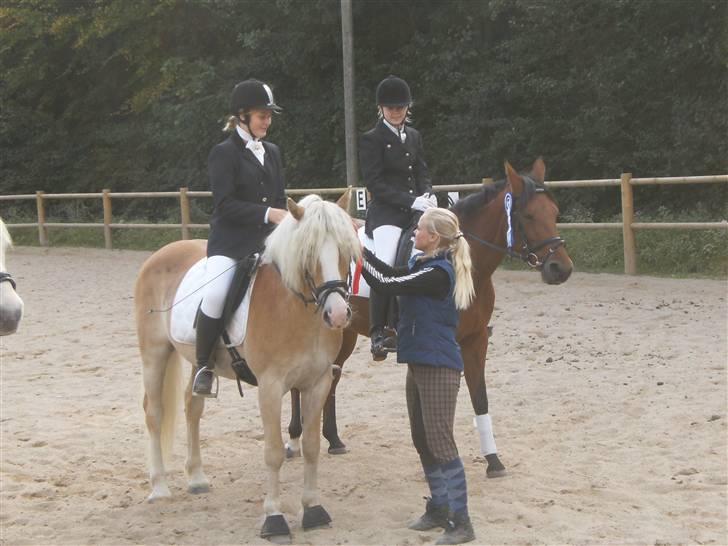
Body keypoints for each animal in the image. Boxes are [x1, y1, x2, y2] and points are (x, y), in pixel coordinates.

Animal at [134, 191, 362, 540]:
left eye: (346, 250)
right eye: (308, 252)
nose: (337, 315)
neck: (293, 309)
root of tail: (160, 254)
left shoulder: (318, 382)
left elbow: (311, 447)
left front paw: (313, 509)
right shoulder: (270, 387)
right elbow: (274, 452)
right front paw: (274, 517)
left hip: (199, 361)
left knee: (192, 405)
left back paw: (196, 478)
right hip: (154, 353)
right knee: (154, 412)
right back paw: (159, 486)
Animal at [286, 156, 576, 476]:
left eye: (555, 212)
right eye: (528, 215)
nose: (561, 269)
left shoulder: (475, 341)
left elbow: (479, 398)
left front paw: (493, 460)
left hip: (344, 333)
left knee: (331, 379)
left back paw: (334, 439)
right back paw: (294, 440)